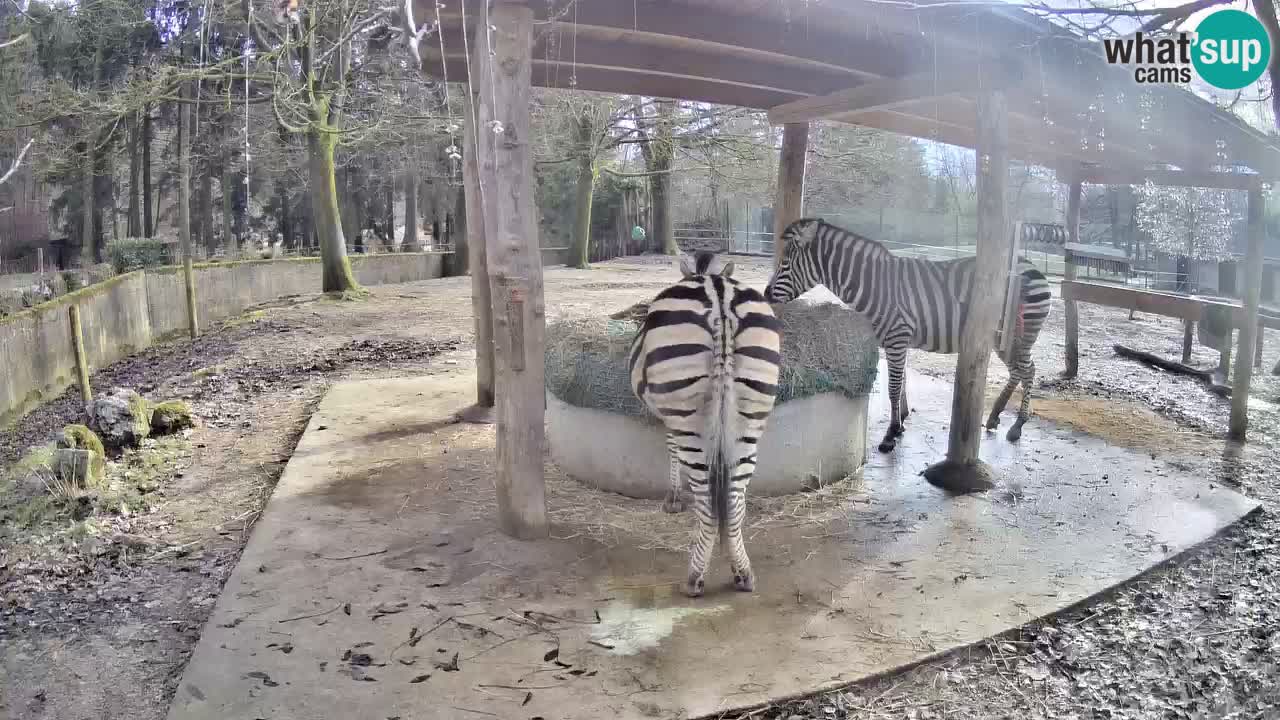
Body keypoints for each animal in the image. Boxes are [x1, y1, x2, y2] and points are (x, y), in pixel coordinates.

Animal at [627, 249, 778, 597]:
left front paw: (672, 498)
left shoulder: (668, 413)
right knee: (734, 501)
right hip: (751, 414)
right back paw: (742, 573)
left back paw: (694, 577)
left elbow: (670, 448)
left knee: (708, 504)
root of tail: (718, 294)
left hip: (688, 413)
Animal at [757, 215, 1049, 450]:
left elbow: (894, 386)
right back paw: (994, 417)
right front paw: (903, 421)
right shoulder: (897, 339)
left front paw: (891, 434)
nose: (765, 294)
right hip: (1002, 338)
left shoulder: (897, 336)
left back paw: (1017, 426)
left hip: (1021, 333)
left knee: (1028, 370)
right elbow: (903, 380)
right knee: (1019, 370)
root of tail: (1030, 263)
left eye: (785, 263)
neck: (874, 285)